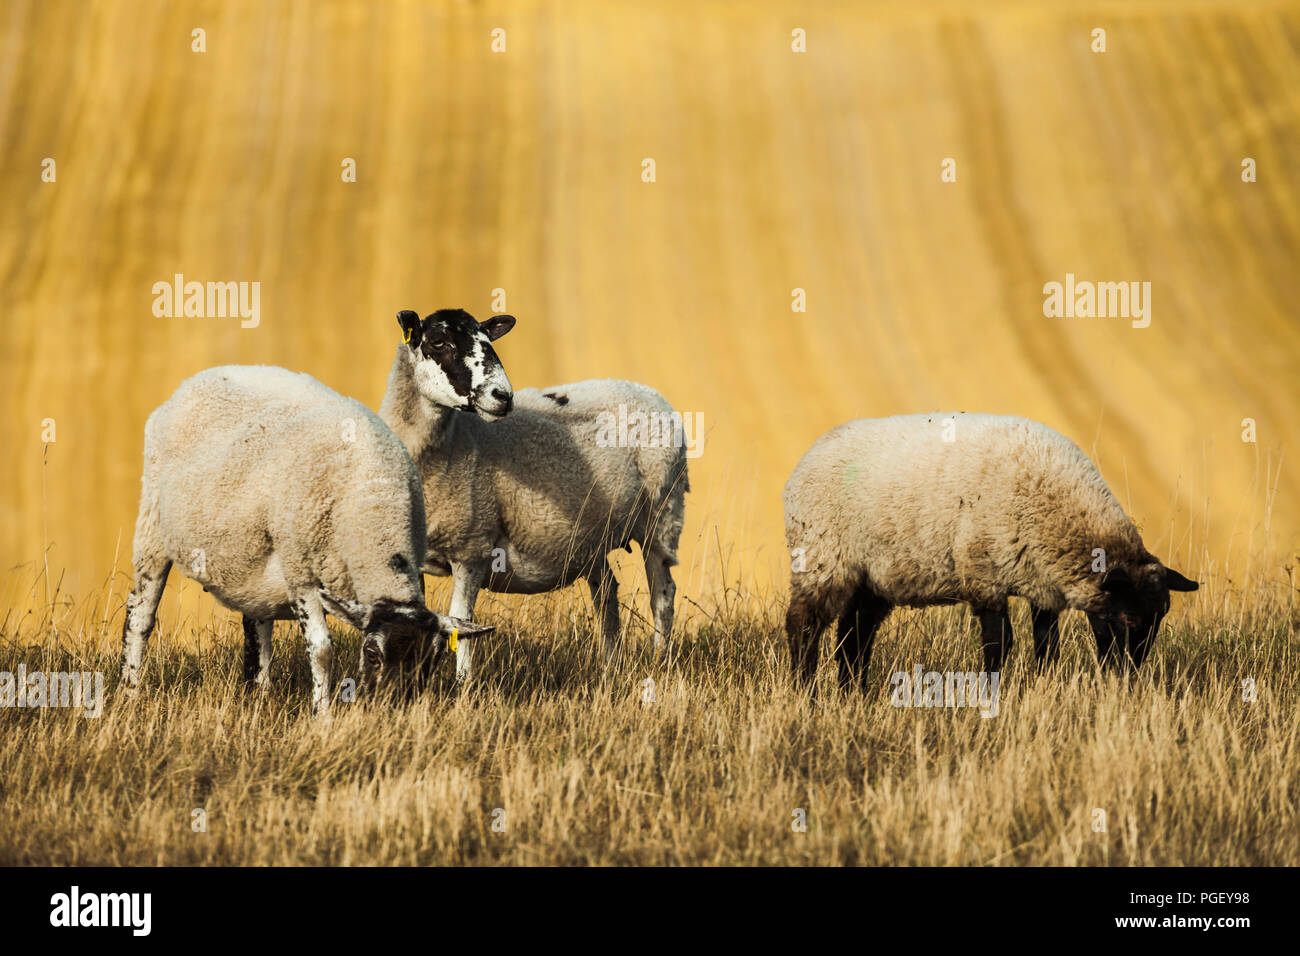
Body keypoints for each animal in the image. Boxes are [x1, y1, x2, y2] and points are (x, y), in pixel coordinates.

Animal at [120, 365, 492, 715]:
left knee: (257, 627)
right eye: (372, 653)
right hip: (152, 525)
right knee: (140, 614)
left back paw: (260, 697)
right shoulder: (300, 572)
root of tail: (193, 382)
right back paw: (130, 691)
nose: (394, 709)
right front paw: (322, 716)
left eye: (433, 659)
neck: (374, 497)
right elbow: (322, 650)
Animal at [378, 308, 690, 682]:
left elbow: (462, 625)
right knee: (606, 594)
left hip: (663, 515)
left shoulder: (472, 549)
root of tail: (649, 392)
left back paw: (661, 660)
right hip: (592, 537)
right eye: (439, 342)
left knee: (662, 593)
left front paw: (464, 684)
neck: (447, 443)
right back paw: (609, 666)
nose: (503, 395)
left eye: (488, 340)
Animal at [783, 413, 1198, 688]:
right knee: (804, 626)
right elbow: (1000, 643)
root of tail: (809, 456)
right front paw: (991, 694)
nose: (1130, 680)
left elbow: (1046, 644)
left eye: (1160, 618)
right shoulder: (984, 575)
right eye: (1127, 621)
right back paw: (806, 693)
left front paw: (1043, 687)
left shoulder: (1041, 584)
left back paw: (854, 695)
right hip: (822, 558)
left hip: (874, 577)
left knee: (853, 638)